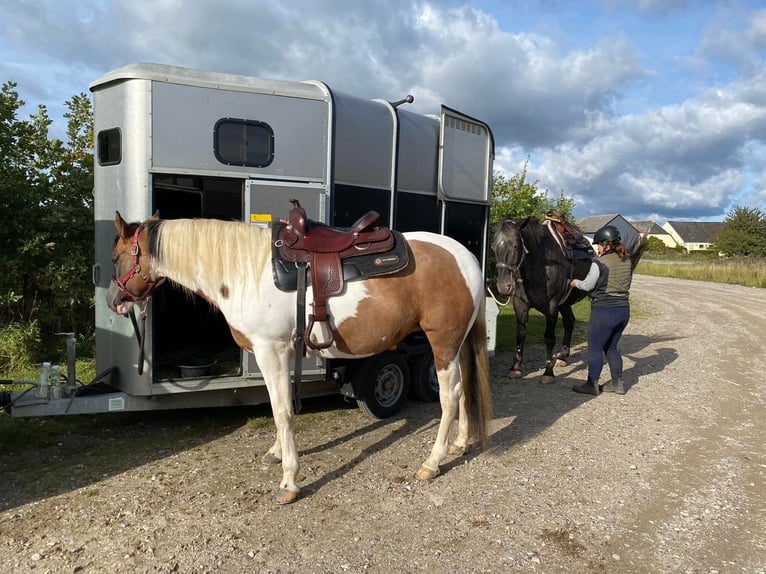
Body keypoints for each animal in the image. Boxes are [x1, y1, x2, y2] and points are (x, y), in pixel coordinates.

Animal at [106, 211, 492, 505]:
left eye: (115, 257)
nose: (113, 301)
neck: (243, 272)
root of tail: (466, 258)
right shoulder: (277, 353)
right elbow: (278, 406)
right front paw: (277, 453)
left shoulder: (270, 350)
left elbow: (282, 412)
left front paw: (289, 481)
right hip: (457, 345)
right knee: (464, 389)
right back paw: (460, 444)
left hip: (442, 342)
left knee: (449, 396)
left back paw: (432, 462)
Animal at [492, 217, 646, 384]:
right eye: (493, 247)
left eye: (515, 245)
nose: (503, 287)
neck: (541, 265)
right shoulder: (520, 305)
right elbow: (520, 334)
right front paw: (516, 368)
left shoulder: (552, 307)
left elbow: (549, 338)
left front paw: (548, 372)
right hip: (565, 303)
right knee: (569, 322)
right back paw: (563, 357)